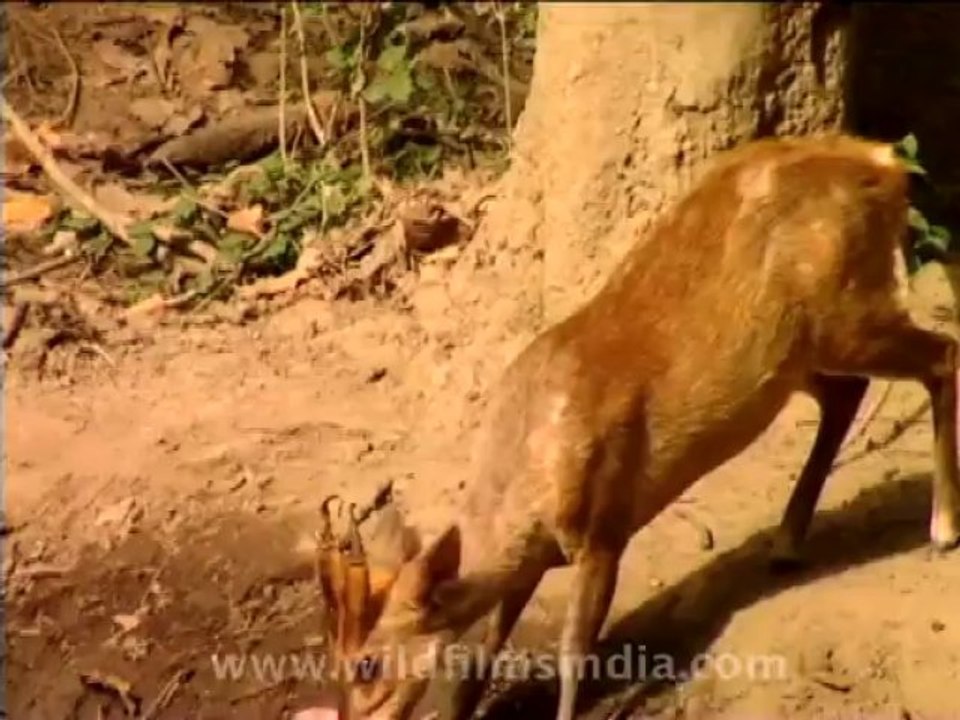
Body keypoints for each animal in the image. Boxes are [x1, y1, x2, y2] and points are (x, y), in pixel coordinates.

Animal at [312, 134, 960, 720]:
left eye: (366, 664)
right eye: (332, 666)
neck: (531, 466)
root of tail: (885, 163)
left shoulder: (604, 523)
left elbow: (575, 652)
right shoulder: (534, 556)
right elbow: (482, 651)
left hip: (850, 311)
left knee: (942, 355)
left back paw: (941, 530)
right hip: (801, 353)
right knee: (847, 393)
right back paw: (787, 542)